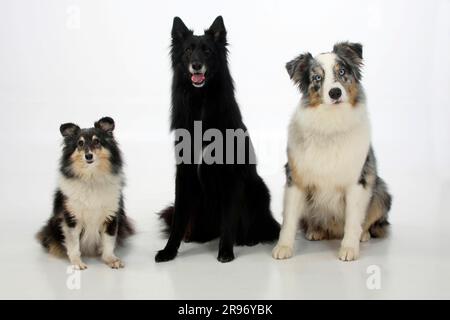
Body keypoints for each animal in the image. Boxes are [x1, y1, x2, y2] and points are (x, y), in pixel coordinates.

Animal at [156, 15, 280, 262]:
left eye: (207, 51)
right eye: (188, 51)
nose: (196, 65)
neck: (200, 103)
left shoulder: (231, 176)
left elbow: (229, 220)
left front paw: (226, 252)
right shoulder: (184, 175)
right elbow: (178, 220)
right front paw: (169, 250)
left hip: (257, 188)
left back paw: (248, 239)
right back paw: (194, 236)